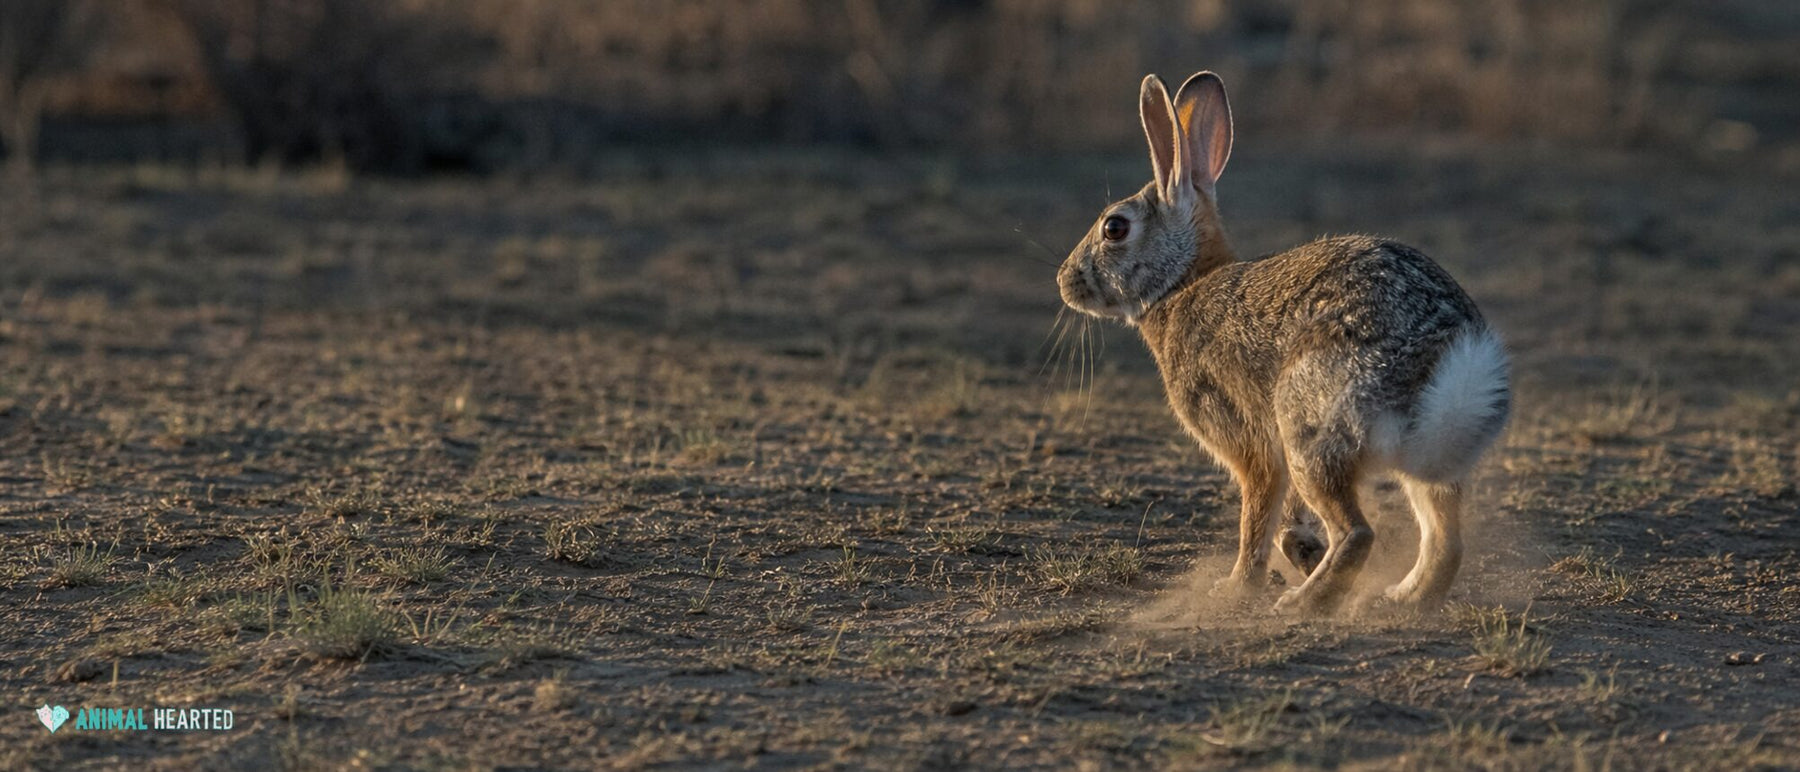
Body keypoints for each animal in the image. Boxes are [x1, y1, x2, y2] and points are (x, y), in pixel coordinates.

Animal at [1057, 72, 1510, 615]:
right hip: (1424, 467)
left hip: (1306, 424)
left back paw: (1303, 602)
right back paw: (1401, 597)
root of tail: (1450, 371)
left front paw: (1235, 587)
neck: (1183, 283)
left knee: (1357, 532)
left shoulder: (1249, 441)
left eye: (1115, 227)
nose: (1065, 281)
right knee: (1445, 540)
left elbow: (1256, 515)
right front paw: (1297, 550)